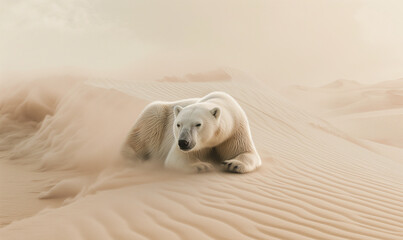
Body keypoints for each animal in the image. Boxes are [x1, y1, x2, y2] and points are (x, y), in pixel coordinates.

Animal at [122, 91, 262, 172]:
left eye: (198, 124)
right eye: (178, 124)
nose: (183, 142)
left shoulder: (236, 130)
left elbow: (246, 152)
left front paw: (233, 164)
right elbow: (177, 156)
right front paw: (201, 166)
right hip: (156, 117)